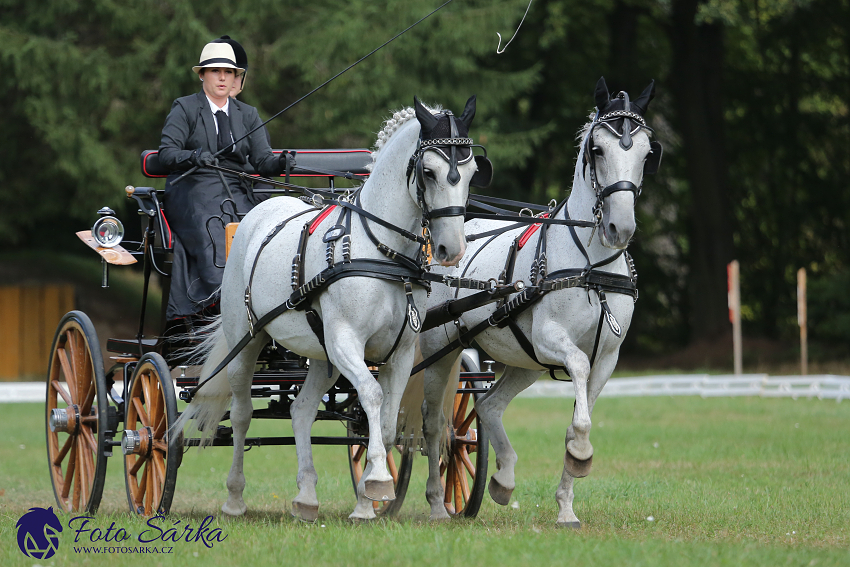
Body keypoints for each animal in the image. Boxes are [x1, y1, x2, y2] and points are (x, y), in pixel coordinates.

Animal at [175, 95, 480, 520]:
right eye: (428, 171)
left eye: (472, 171)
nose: (452, 250)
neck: (381, 250)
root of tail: (255, 214)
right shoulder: (346, 341)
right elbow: (371, 396)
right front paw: (377, 483)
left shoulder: (400, 351)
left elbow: (385, 422)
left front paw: (368, 497)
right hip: (246, 341)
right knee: (241, 413)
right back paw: (234, 498)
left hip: (320, 355)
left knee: (301, 410)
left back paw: (305, 498)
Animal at [408, 77, 660, 524]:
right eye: (598, 149)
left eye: (648, 153)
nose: (621, 228)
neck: (590, 266)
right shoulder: (550, 338)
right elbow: (577, 369)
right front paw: (581, 453)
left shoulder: (607, 358)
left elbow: (578, 418)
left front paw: (566, 504)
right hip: (441, 350)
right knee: (434, 424)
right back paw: (438, 502)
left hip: (523, 361)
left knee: (489, 407)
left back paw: (503, 478)